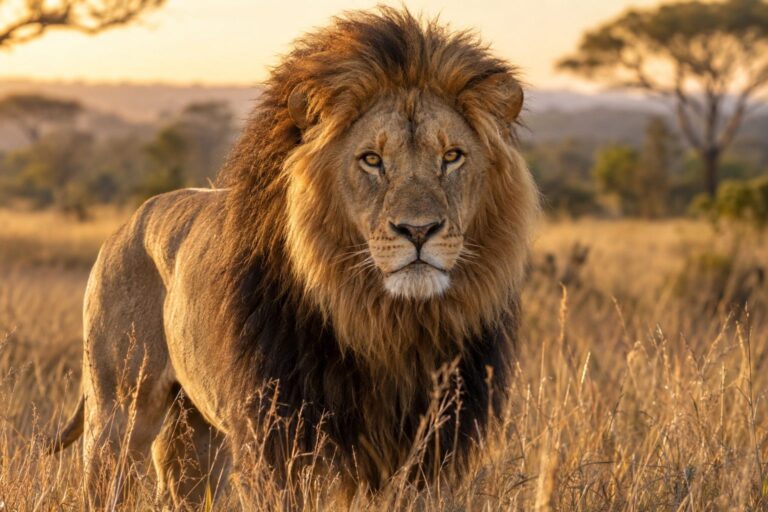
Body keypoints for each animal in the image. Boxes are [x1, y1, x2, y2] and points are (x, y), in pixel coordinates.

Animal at [52, 7, 539, 508]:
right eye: (371, 159)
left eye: (452, 156)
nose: (419, 231)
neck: (387, 324)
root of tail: (128, 222)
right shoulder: (278, 439)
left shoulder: (431, 449)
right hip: (119, 409)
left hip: (196, 430)